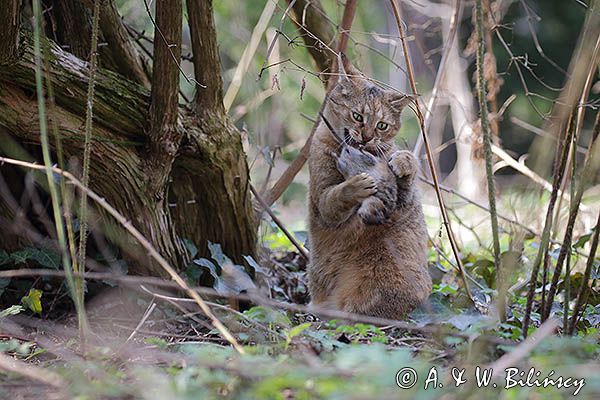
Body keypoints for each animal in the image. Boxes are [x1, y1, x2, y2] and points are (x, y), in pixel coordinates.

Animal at [310, 55, 432, 318]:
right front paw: (356, 185)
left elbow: (406, 167)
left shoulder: (402, 198)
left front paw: (402, 161)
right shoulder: (323, 203)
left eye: (382, 125)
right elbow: (335, 195)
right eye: (357, 116)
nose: (366, 137)